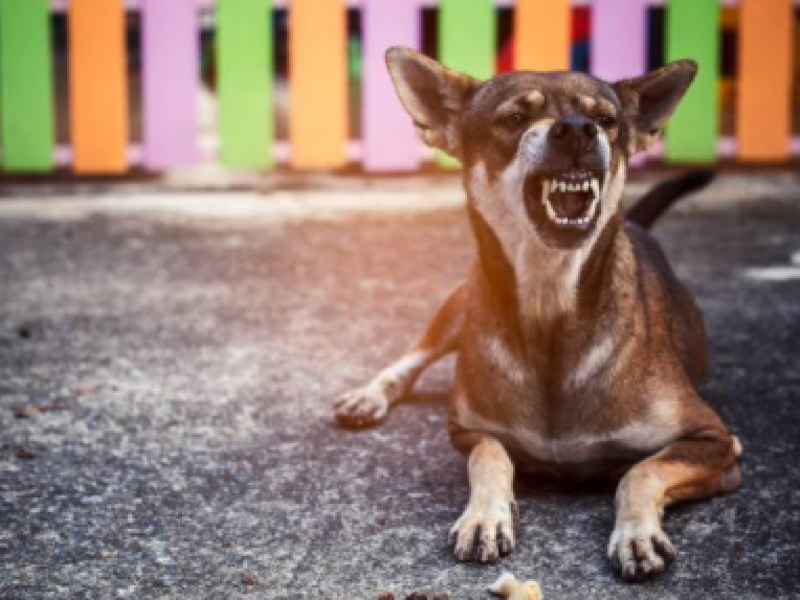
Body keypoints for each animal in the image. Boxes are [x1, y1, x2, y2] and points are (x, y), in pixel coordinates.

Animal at [332, 47, 744, 580]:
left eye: (606, 120)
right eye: (514, 118)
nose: (577, 130)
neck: (551, 303)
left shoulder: (716, 441)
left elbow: (641, 469)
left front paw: (636, 533)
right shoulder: (468, 431)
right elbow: (491, 455)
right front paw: (486, 515)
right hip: (461, 300)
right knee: (415, 354)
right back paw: (370, 395)